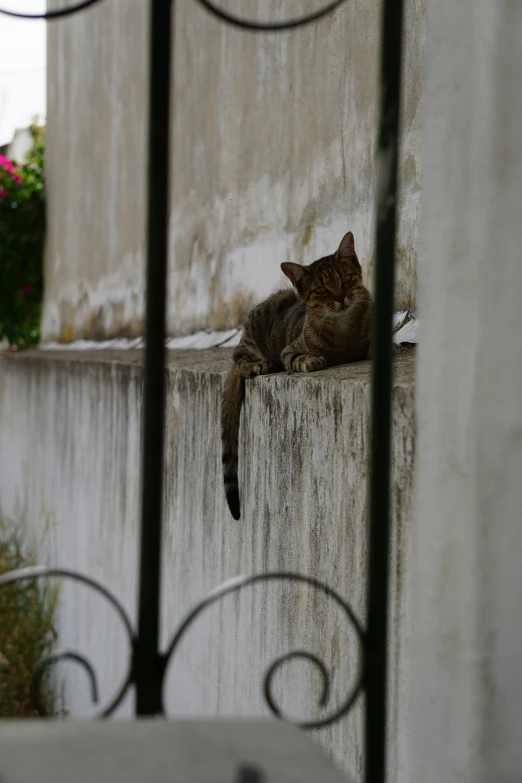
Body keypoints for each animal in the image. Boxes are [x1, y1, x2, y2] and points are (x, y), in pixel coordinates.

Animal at [219, 233, 370, 520]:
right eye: (322, 290)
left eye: (346, 278)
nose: (342, 298)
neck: (342, 331)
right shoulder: (289, 351)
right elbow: (301, 359)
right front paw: (313, 360)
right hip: (256, 335)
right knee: (236, 356)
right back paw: (258, 365)